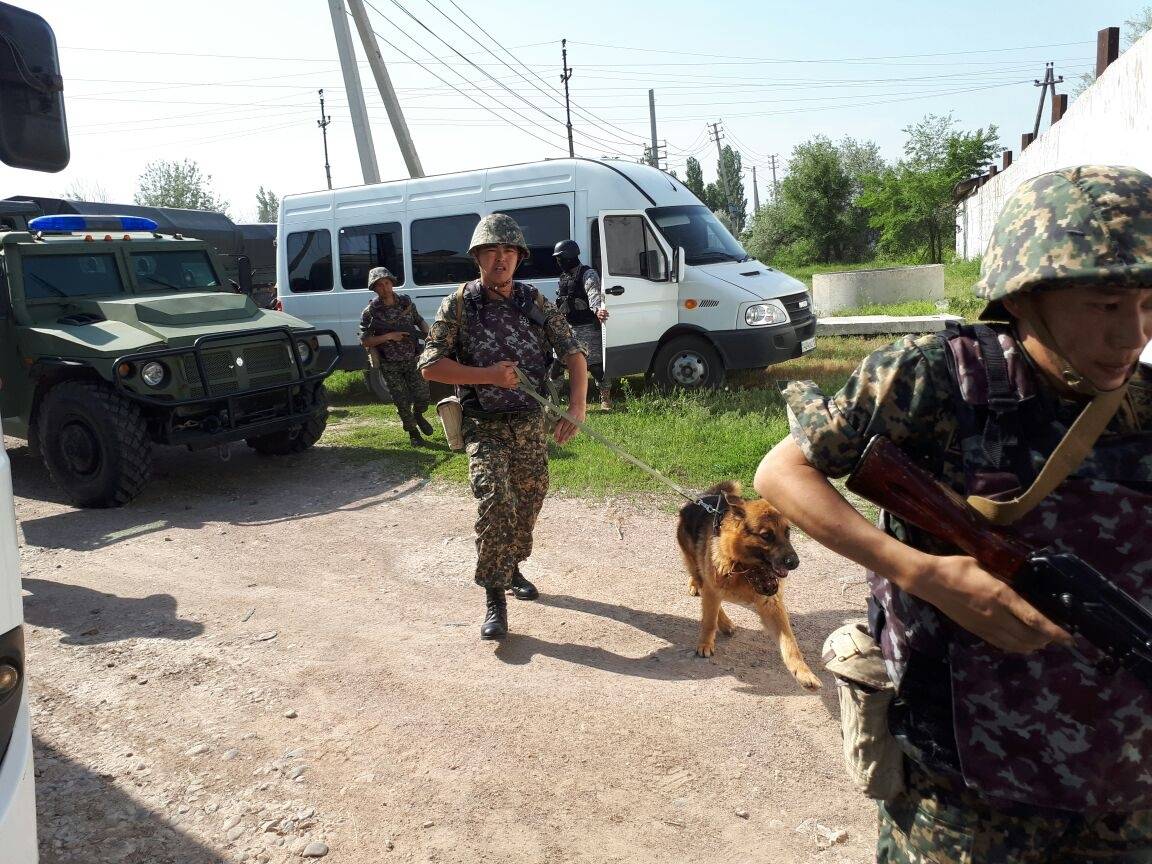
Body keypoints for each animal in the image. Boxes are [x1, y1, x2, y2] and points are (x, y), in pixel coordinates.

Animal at [672, 483, 820, 695]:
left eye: (788, 532)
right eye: (766, 536)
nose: (795, 562)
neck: (746, 567)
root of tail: (701, 499)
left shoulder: (772, 604)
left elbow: (790, 644)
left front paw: (803, 673)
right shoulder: (713, 589)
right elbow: (708, 620)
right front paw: (705, 643)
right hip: (699, 569)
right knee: (702, 585)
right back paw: (720, 617)